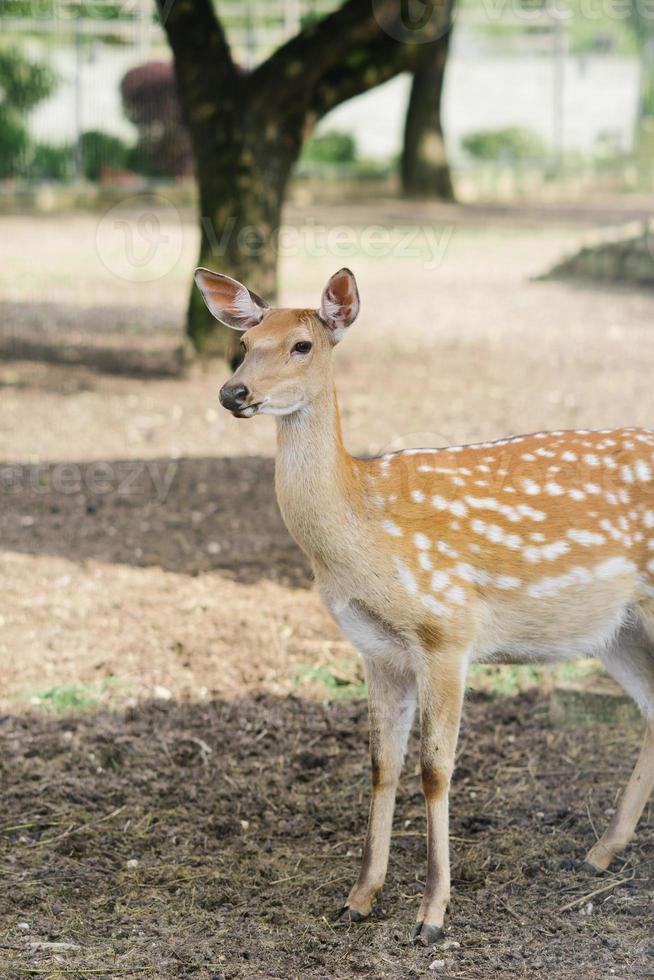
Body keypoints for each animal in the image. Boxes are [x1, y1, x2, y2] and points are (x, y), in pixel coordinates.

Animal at [196, 266, 654, 940]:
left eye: (302, 345)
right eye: (246, 343)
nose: (234, 392)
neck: (362, 534)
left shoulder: (447, 631)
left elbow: (435, 770)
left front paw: (432, 913)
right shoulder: (376, 650)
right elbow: (381, 764)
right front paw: (360, 896)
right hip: (616, 629)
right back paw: (599, 853)